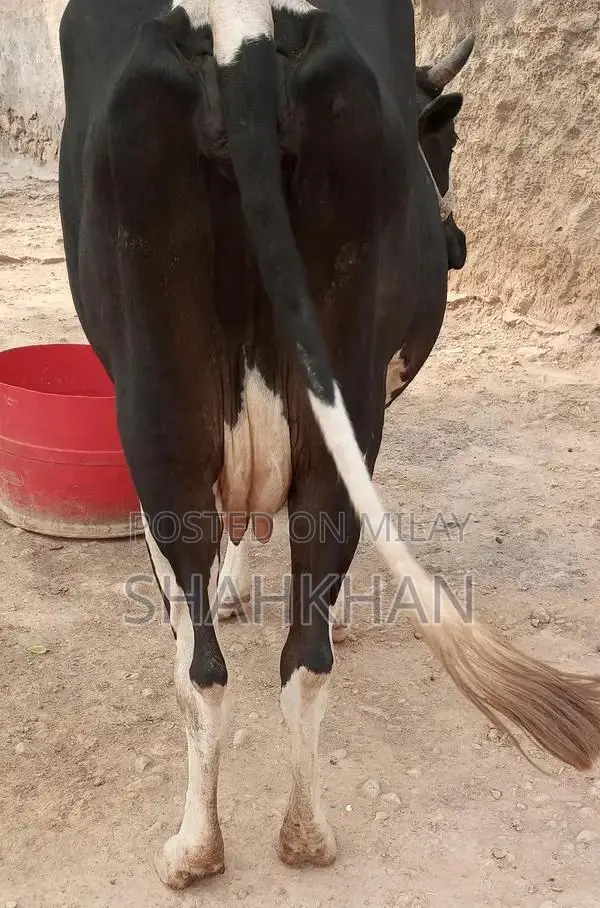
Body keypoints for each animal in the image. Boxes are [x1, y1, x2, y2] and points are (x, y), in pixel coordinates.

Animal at [58, 0, 600, 890]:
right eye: (447, 141)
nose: (456, 245)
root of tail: (241, 29)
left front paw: (241, 588)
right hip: (303, 383)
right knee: (294, 650)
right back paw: (296, 835)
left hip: (156, 413)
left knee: (204, 663)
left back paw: (202, 846)